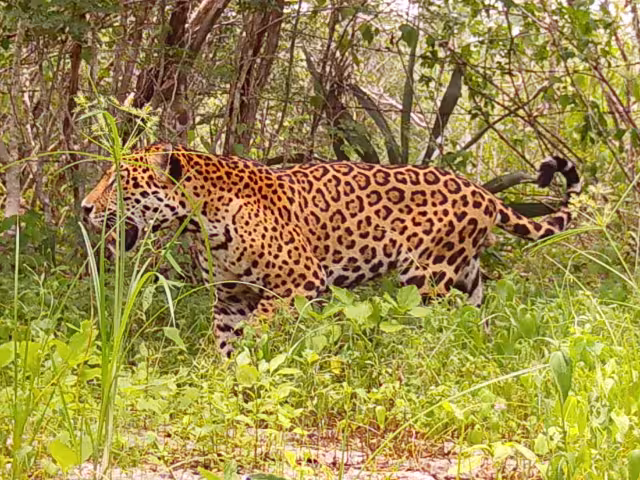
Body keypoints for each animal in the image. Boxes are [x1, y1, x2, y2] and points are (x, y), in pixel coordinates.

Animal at [81, 142, 581, 357]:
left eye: (120, 181)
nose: (84, 207)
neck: (200, 219)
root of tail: (483, 192)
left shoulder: (300, 282)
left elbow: (262, 326)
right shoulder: (231, 296)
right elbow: (224, 341)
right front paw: (225, 378)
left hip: (426, 277)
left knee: (432, 328)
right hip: (466, 277)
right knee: (476, 323)